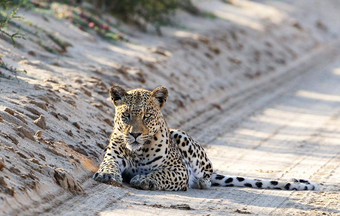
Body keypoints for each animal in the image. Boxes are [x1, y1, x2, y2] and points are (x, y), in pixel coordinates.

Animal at [93, 86, 318, 191]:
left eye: (146, 116)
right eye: (126, 115)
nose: (135, 134)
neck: (137, 151)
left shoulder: (178, 170)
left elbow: (160, 174)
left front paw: (144, 180)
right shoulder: (113, 156)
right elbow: (108, 165)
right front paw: (107, 175)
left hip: (181, 136)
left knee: (207, 179)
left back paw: (200, 182)